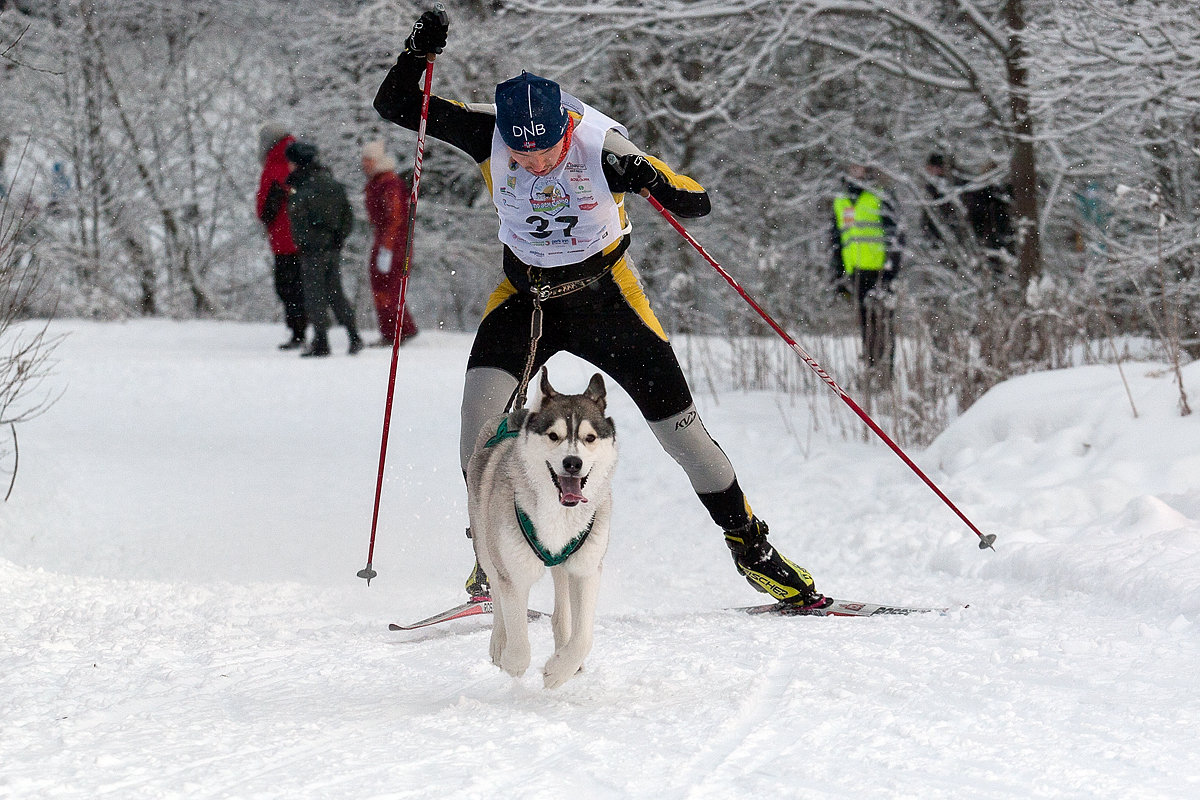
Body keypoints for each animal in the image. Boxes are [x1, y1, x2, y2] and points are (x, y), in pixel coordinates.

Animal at [465, 369, 614, 690]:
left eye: (590, 438)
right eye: (554, 436)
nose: (573, 463)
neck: (559, 513)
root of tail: (514, 414)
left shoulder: (586, 567)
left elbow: (583, 637)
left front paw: (559, 670)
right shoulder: (513, 570)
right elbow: (514, 622)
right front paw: (514, 660)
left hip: (563, 566)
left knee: (561, 611)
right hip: (486, 546)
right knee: (496, 596)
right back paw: (499, 644)